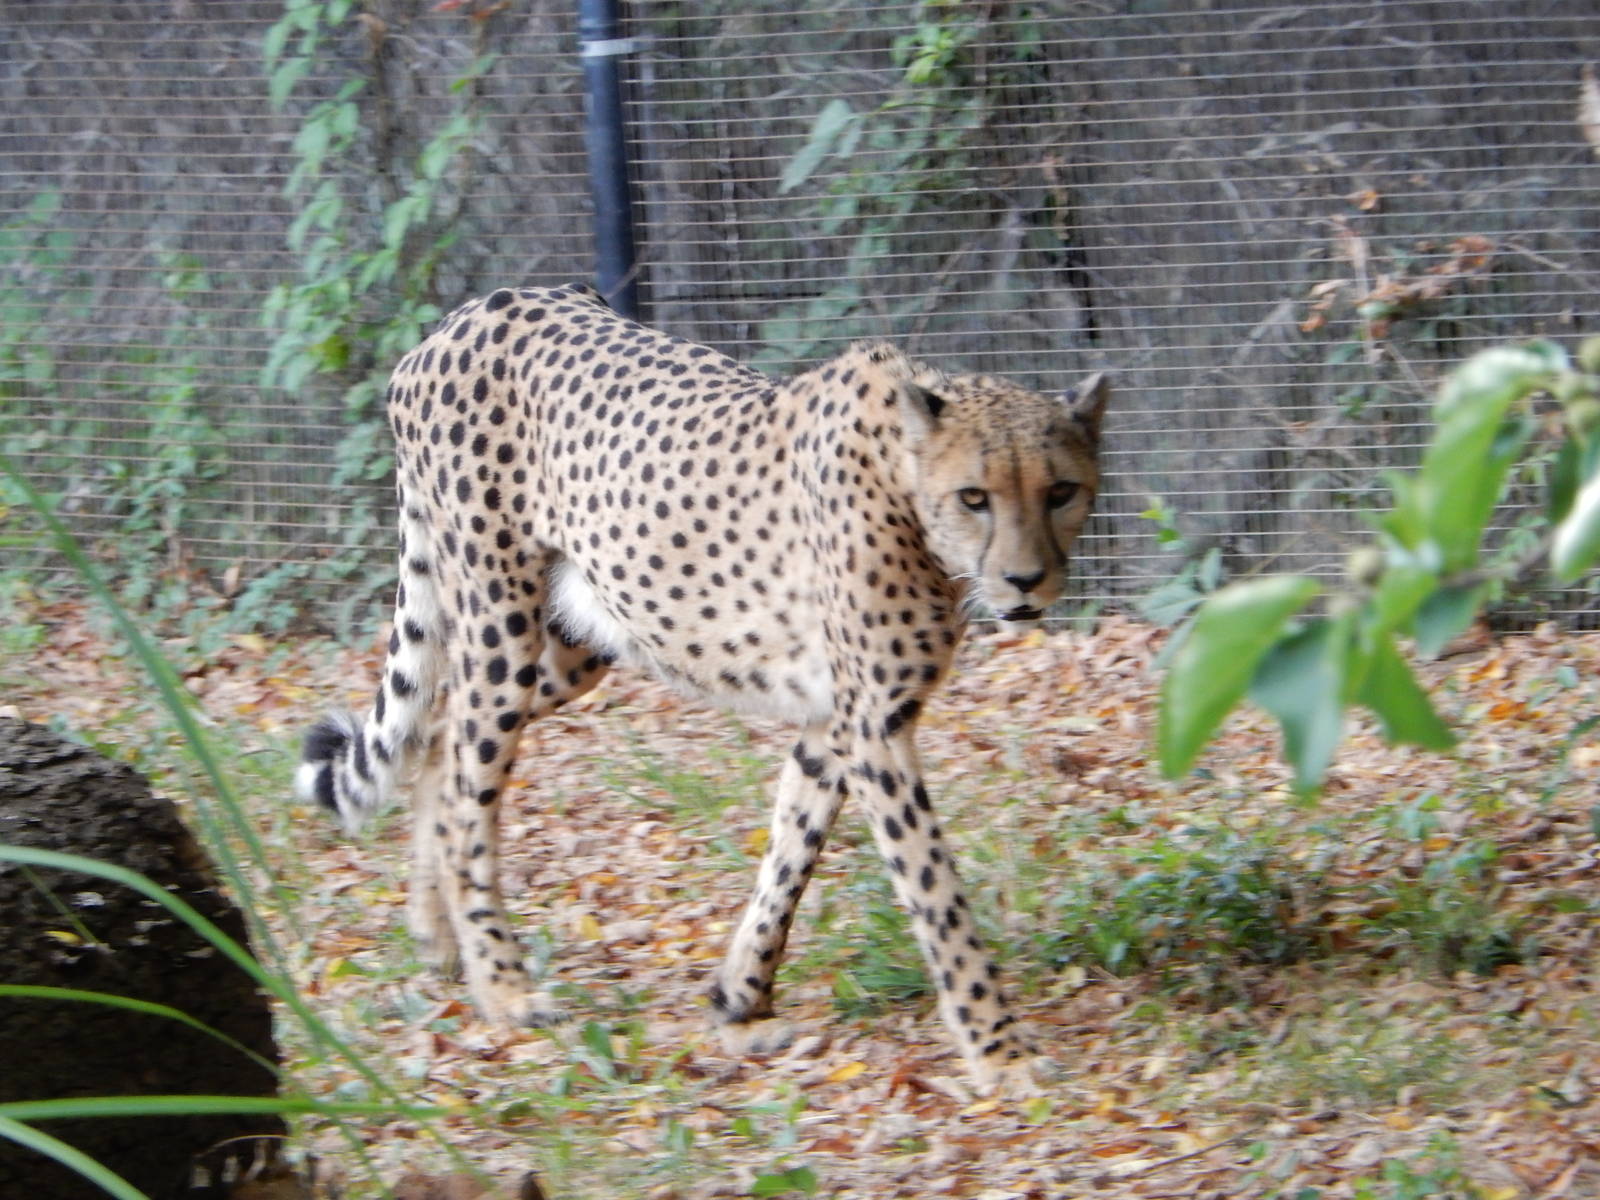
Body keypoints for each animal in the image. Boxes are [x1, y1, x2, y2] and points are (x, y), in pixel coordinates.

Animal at [296, 282, 1107, 1092]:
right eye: (975, 497)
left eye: (1061, 490)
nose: (1027, 581)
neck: (903, 482)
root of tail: (465, 316)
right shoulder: (873, 726)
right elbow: (935, 890)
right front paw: (999, 1051)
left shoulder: (834, 720)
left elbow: (792, 850)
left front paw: (740, 996)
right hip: (501, 626)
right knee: (468, 781)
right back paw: (501, 986)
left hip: (582, 637)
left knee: (439, 740)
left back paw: (436, 938)